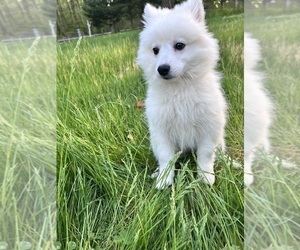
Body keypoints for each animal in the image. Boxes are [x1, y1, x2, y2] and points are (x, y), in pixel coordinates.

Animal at [137, 0, 226, 188]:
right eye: (155, 50)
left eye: (179, 46)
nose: (162, 69)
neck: (180, 88)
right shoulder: (161, 130)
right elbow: (166, 157)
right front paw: (164, 179)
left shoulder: (208, 127)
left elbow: (205, 154)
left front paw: (205, 177)